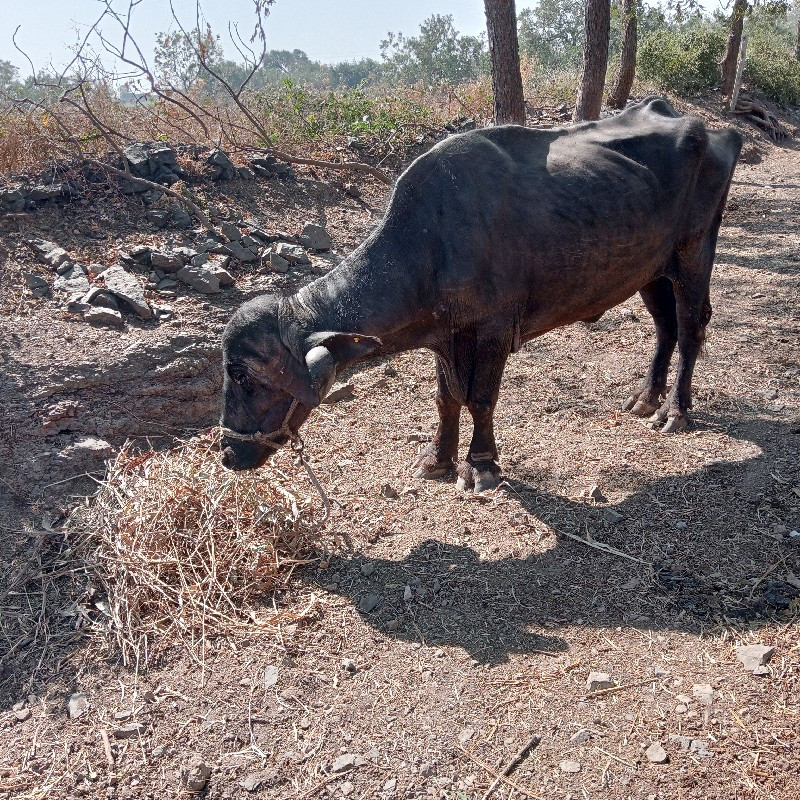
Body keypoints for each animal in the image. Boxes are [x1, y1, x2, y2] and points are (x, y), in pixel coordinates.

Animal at [219, 97, 744, 490]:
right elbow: (447, 398)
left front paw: (483, 464)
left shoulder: (492, 329)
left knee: (692, 327)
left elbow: (481, 398)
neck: (433, 241)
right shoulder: (445, 335)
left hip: (694, 251)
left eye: (243, 375)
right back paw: (647, 397)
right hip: (650, 270)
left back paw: (676, 411)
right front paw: (437, 459)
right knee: (665, 327)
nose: (226, 451)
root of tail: (715, 131)